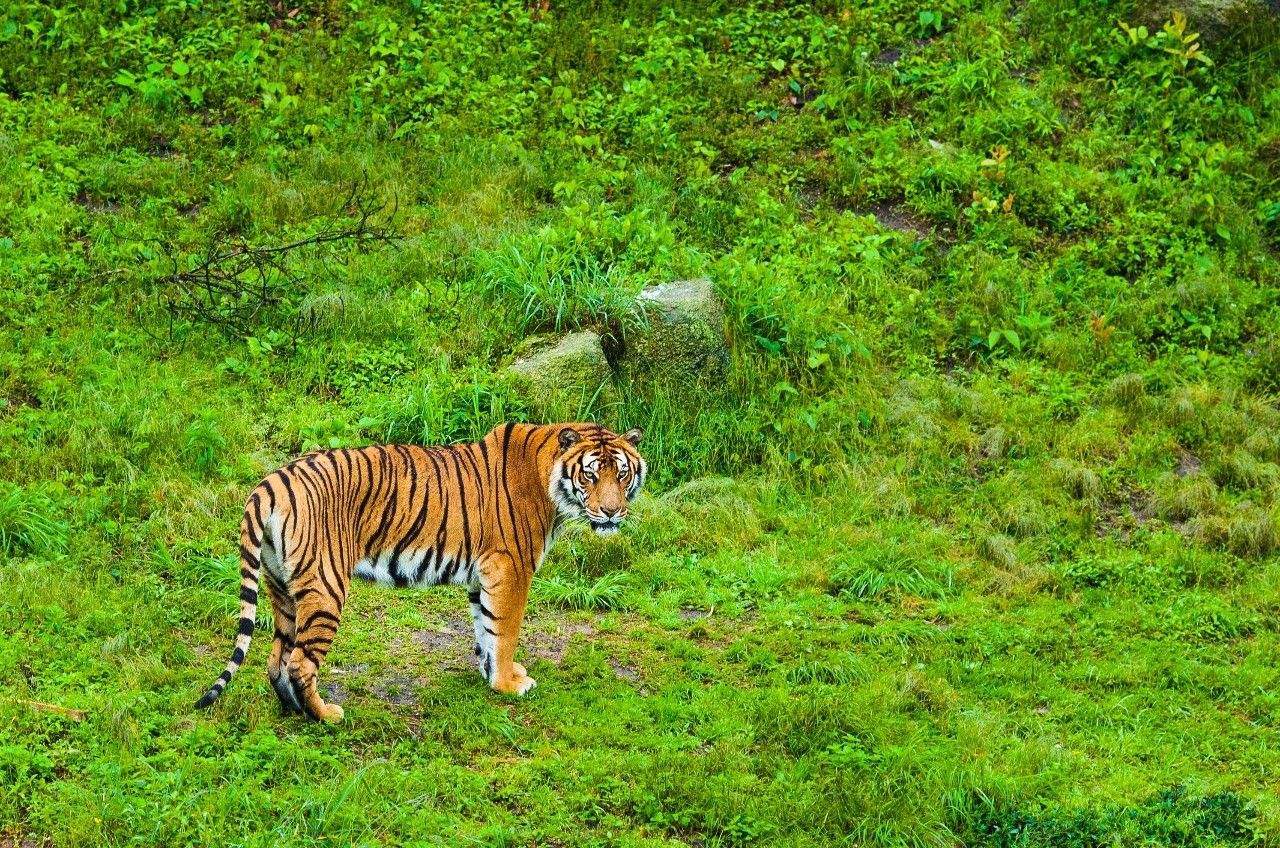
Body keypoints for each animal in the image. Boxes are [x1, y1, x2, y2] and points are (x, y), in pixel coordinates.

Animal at [193, 425, 645, 722]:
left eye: (622, 473)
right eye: (590, 474)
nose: (611, 512)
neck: (549, 479)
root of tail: (271, 481)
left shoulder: (483, 575)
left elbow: (485, 629)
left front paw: (491, 675)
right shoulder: (510, 568)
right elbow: (506, 632)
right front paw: (507, 685)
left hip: (281, 586)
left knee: (277, 658)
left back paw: (292, 709)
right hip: (325, 585)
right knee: (300, 662)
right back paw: (325, 714)